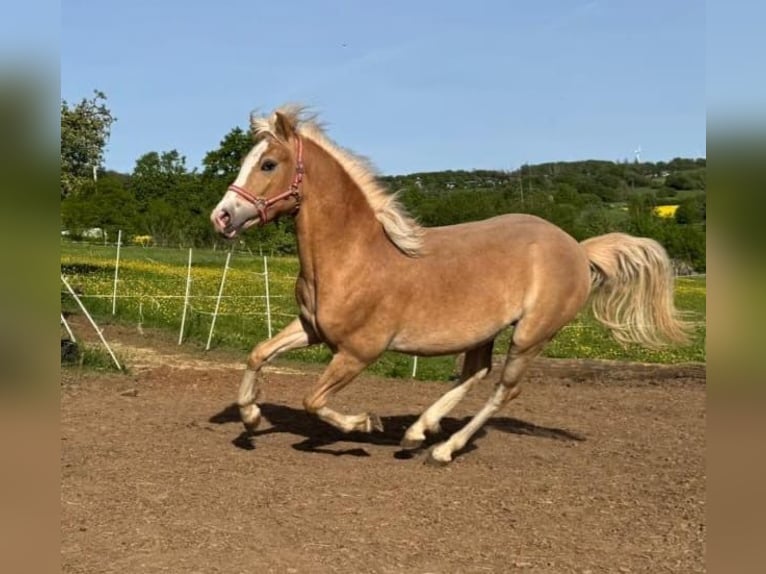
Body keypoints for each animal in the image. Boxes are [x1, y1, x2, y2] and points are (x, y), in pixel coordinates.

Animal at [210, 105, 690, 465]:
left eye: (268, 164)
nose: (222, 216)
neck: (353, 255)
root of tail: (576, 247)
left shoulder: (359, 351)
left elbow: (313, 400)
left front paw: (366, 423)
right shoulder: (311, 329)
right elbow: (258, 354)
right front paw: (250, 418)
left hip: (531, 335)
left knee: (505, 389)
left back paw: (441, 449)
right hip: (485, 332)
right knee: (476, 372)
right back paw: (419, 430)